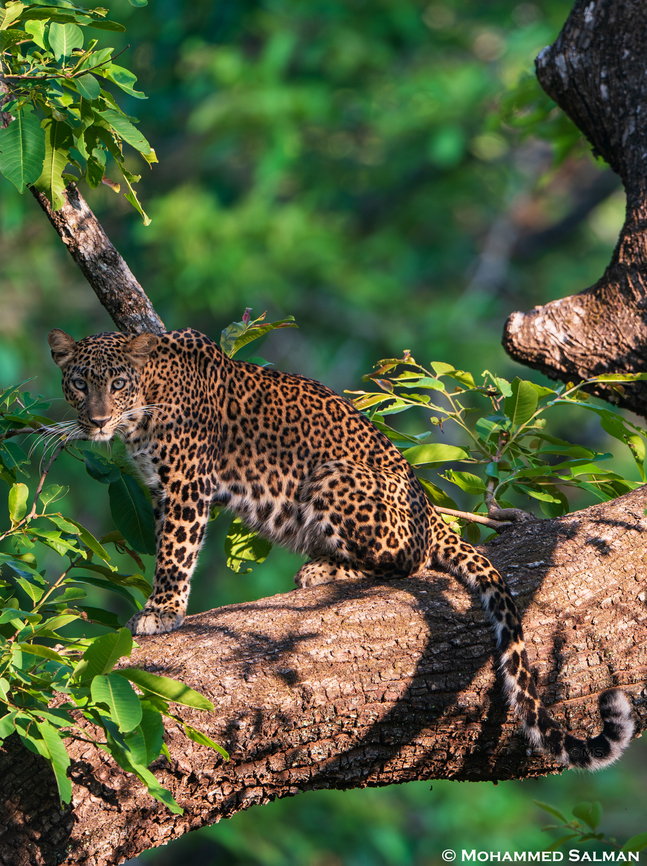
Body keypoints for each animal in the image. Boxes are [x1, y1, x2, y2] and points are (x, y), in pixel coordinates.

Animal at [48, 325, 634, 770]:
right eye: (78, 383)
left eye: (117, 383)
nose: (95, 420)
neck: (143, 404)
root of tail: (431, 513)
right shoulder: (159, 489)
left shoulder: (187, 486)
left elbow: (175, 552)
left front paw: (160, 612)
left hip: (333, 478)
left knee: (409, 561)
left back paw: (322, 570)